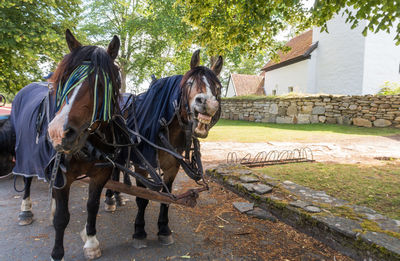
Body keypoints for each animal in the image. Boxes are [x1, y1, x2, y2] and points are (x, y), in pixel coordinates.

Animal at [0, 29, 121, 258]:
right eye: (64, 79)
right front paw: (57, 253)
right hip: (27, 156)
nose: (58, 133)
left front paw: (91, 241)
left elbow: (92, 206)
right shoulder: (60, 176)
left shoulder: (100, 174)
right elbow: (62, 218)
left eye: (102, 84)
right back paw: (25, 210)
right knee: (27, 180)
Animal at [104, 49, 223, 247]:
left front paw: (164, 229)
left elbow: (166, 199)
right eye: (190, 83)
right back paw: (110, 198)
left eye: (218, 87)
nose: (208, 103)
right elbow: (142, 198)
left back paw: (119, 196)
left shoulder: (172, 167)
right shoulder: (143, 166)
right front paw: (139, 231)